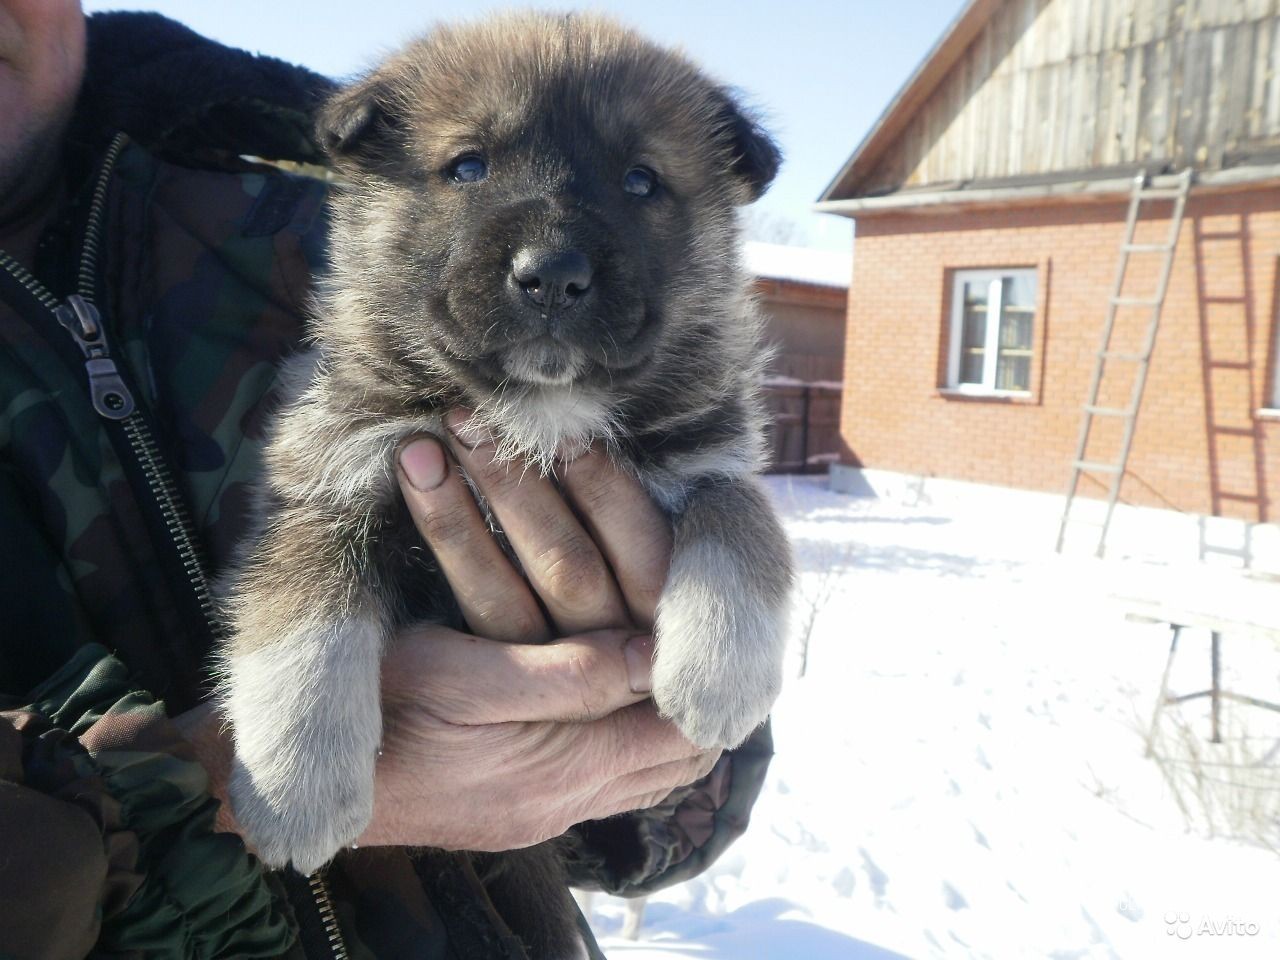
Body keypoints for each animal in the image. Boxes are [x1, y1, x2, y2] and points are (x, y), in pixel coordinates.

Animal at [225, 11, 793, 957]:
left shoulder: (704, 448)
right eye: (468, 166)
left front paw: (719, 673)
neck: (541, 409)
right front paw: (294, 785)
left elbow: (743, 515)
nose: (552, 273)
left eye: (640, 180)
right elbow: (303, 616)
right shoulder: (335, 469)